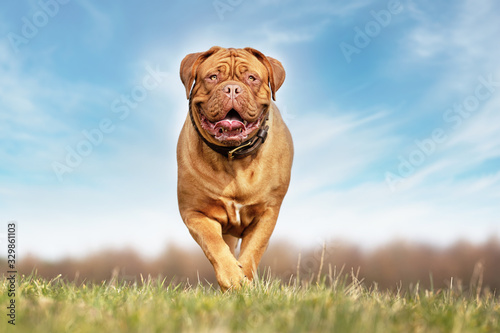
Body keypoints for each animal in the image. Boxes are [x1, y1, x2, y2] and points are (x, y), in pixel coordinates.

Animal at [176, 46, 292, 290]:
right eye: (212, 77)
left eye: (252, 78)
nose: (231, 88)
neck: (233, 157)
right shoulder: (194, 211)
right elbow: (213, 244)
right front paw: (232, 277)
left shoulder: (267, 212)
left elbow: (253, 251)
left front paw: (244, 281)